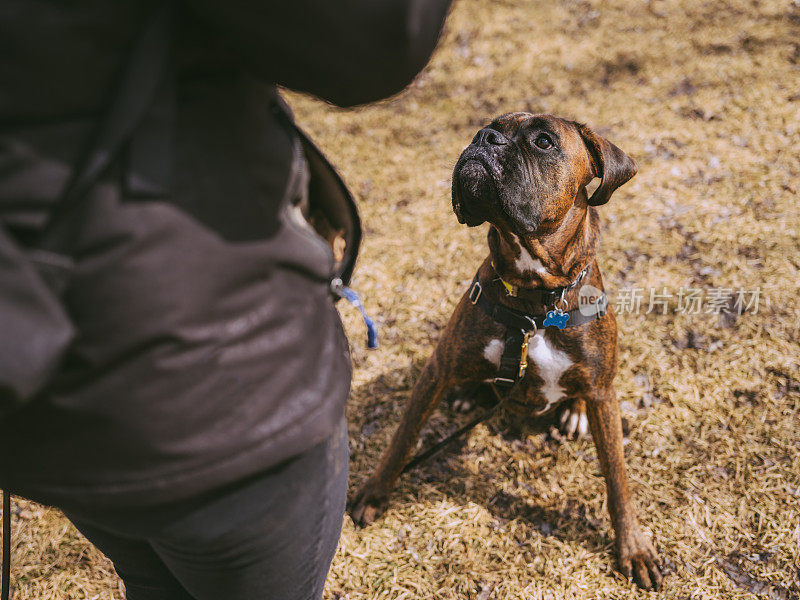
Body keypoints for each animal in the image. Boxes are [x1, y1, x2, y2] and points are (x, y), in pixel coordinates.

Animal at [350, 112, 664, 592]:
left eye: (543, 141)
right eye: (488, 126)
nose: (486, 138)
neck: (535, 302)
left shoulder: (603, 393)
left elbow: (617, 481)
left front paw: (633, 548)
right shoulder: (437, 370)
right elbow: (401, 439)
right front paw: (374, 492)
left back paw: (573, 415)